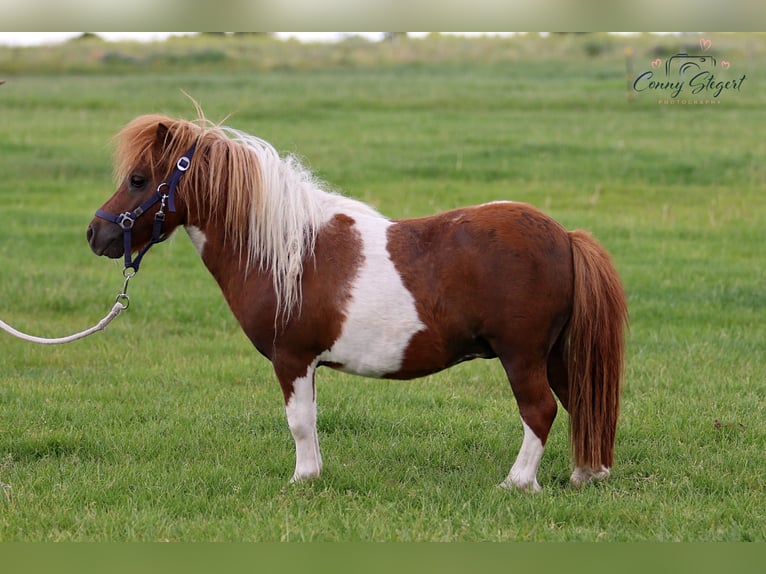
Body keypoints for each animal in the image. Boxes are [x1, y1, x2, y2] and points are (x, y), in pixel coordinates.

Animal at [90, 115, 632, 492]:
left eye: (139, 179)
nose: (96, 234)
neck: (288, 249)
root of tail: (564, 236)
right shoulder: (307, 364)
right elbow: (310, 419)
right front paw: (313, 473)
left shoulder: (292, 358)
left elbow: (298, 422)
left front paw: (303, 480)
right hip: (554, 354)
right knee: (578, 403)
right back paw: (585, 475)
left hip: (522, 356)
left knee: (540, 410)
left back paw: (518, 483)